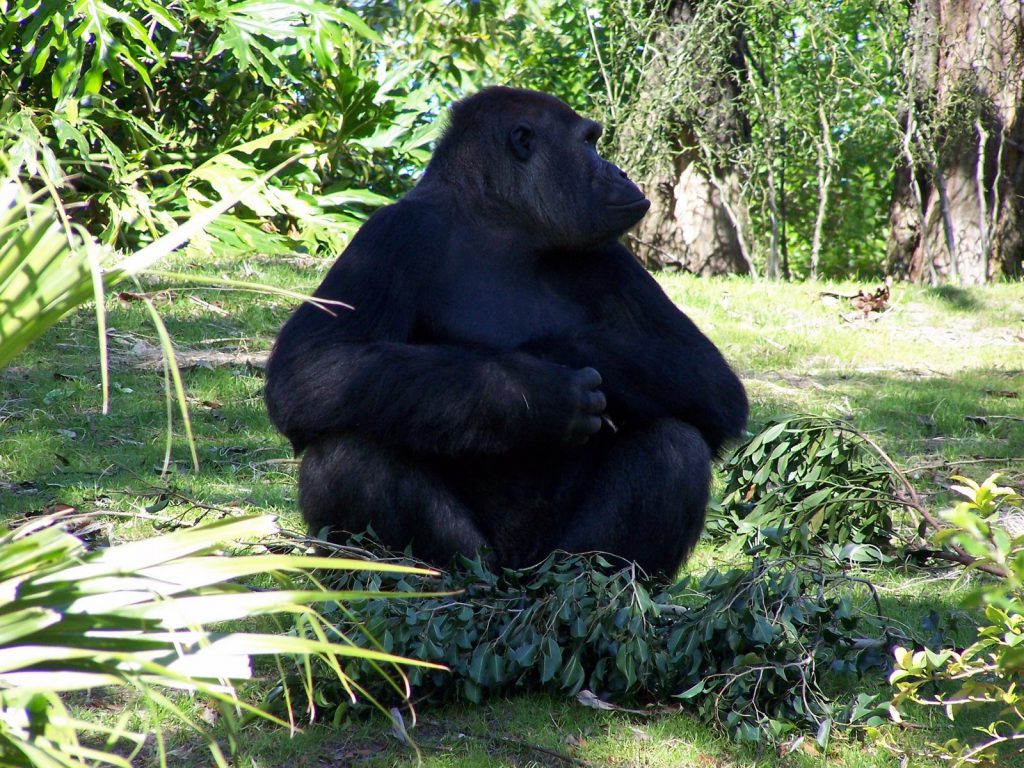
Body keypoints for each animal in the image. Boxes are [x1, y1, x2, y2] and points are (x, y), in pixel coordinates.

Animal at [264, 85, 745, 577]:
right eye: (589, 143)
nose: (620, 171)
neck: (498, 222)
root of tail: (515, 577)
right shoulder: (393, 232)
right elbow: (309, 367)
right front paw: (535, 391)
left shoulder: (608, 254)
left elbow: (709, 377)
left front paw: (552, 355)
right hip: (473, 562)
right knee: (346, 452)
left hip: (555, 561)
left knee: (676, 445)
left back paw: (605, 585)